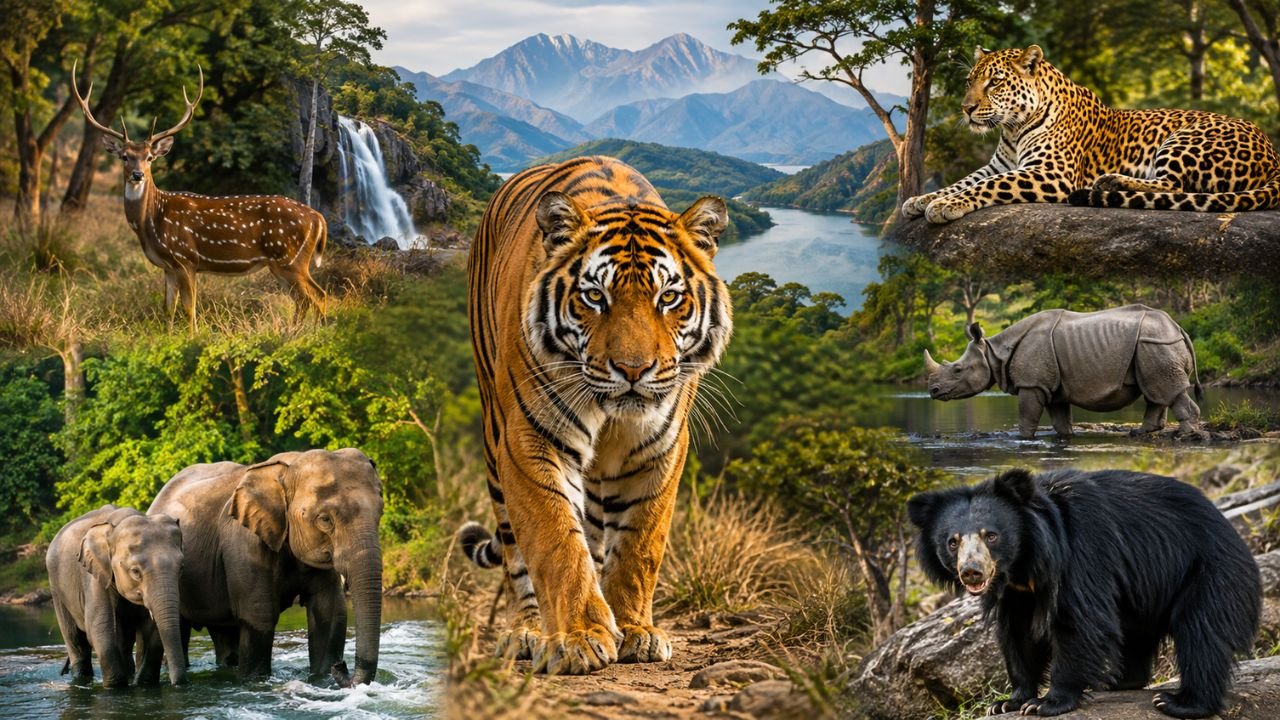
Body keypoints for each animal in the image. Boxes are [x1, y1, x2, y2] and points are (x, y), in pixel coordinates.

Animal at [458, 156, 733, 675]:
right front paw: (579, 637)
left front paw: (636, 630)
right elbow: (556, 541)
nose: (633, 369)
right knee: (514, 551)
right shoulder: (530, 441)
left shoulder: (661, 449)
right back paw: (527, 631)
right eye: (594, 297)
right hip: (492, 435)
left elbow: (639, 547)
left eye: (668, 298)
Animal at [902, 45, 1280, 223]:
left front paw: (945, 205)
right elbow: (966, 179)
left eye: (994, 82)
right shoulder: (999, 164)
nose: (966, 108)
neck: (1013, 127)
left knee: (1174, 186)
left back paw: (1108, 183)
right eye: (969, 81)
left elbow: (987, 186)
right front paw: (922, 199)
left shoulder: (1051, 173)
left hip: (1185, 138)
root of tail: (1273, 154)